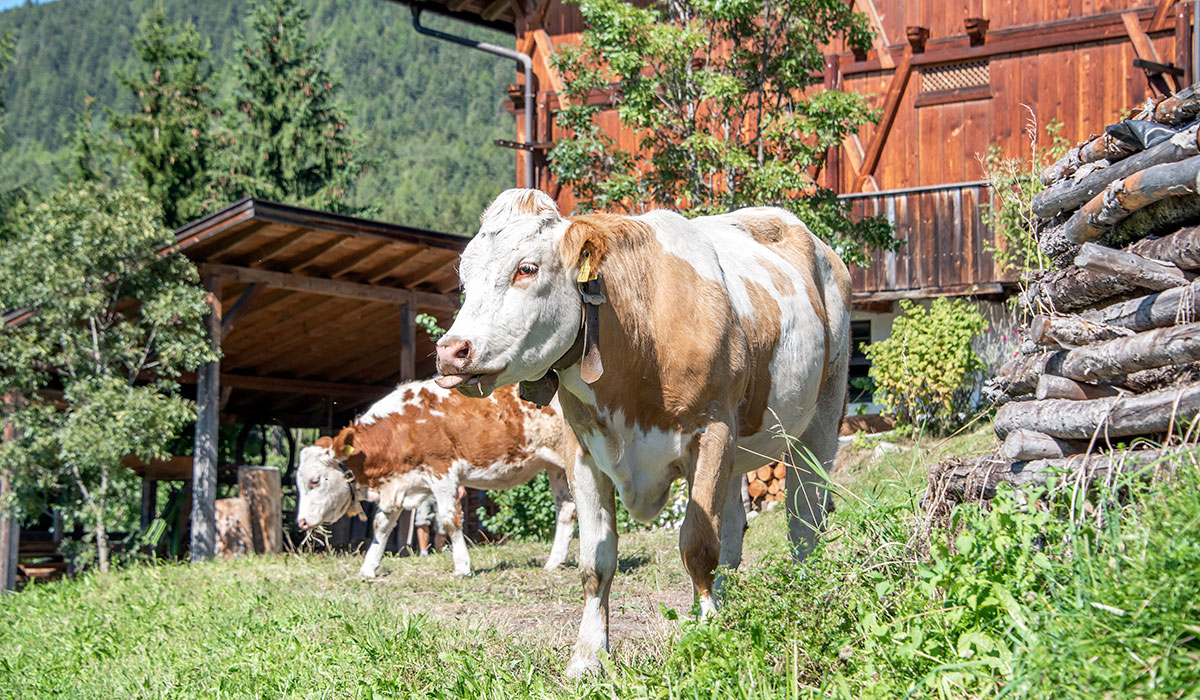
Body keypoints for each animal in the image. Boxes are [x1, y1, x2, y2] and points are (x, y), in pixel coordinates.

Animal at [295, 381, 576, 578]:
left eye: (315, 481)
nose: (301, 522)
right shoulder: (397, 486)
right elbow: (381, 525)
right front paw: (368, 568)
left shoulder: (442, 470)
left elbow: (450, 520)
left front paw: (462, 567)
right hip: (554, 466)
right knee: (566, 509)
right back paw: (553, 563)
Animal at [436, 188, 849, 677]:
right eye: (464, 280)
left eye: (527, 268)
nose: (451, 351)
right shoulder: (583, 453)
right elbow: (595, 562)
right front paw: (588, 657)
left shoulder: (711, 432)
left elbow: (698, 545)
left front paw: (705, 637)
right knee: (733, 528)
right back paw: (729, 603)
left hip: (821, 418)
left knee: (804, 519)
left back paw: (805, 589)